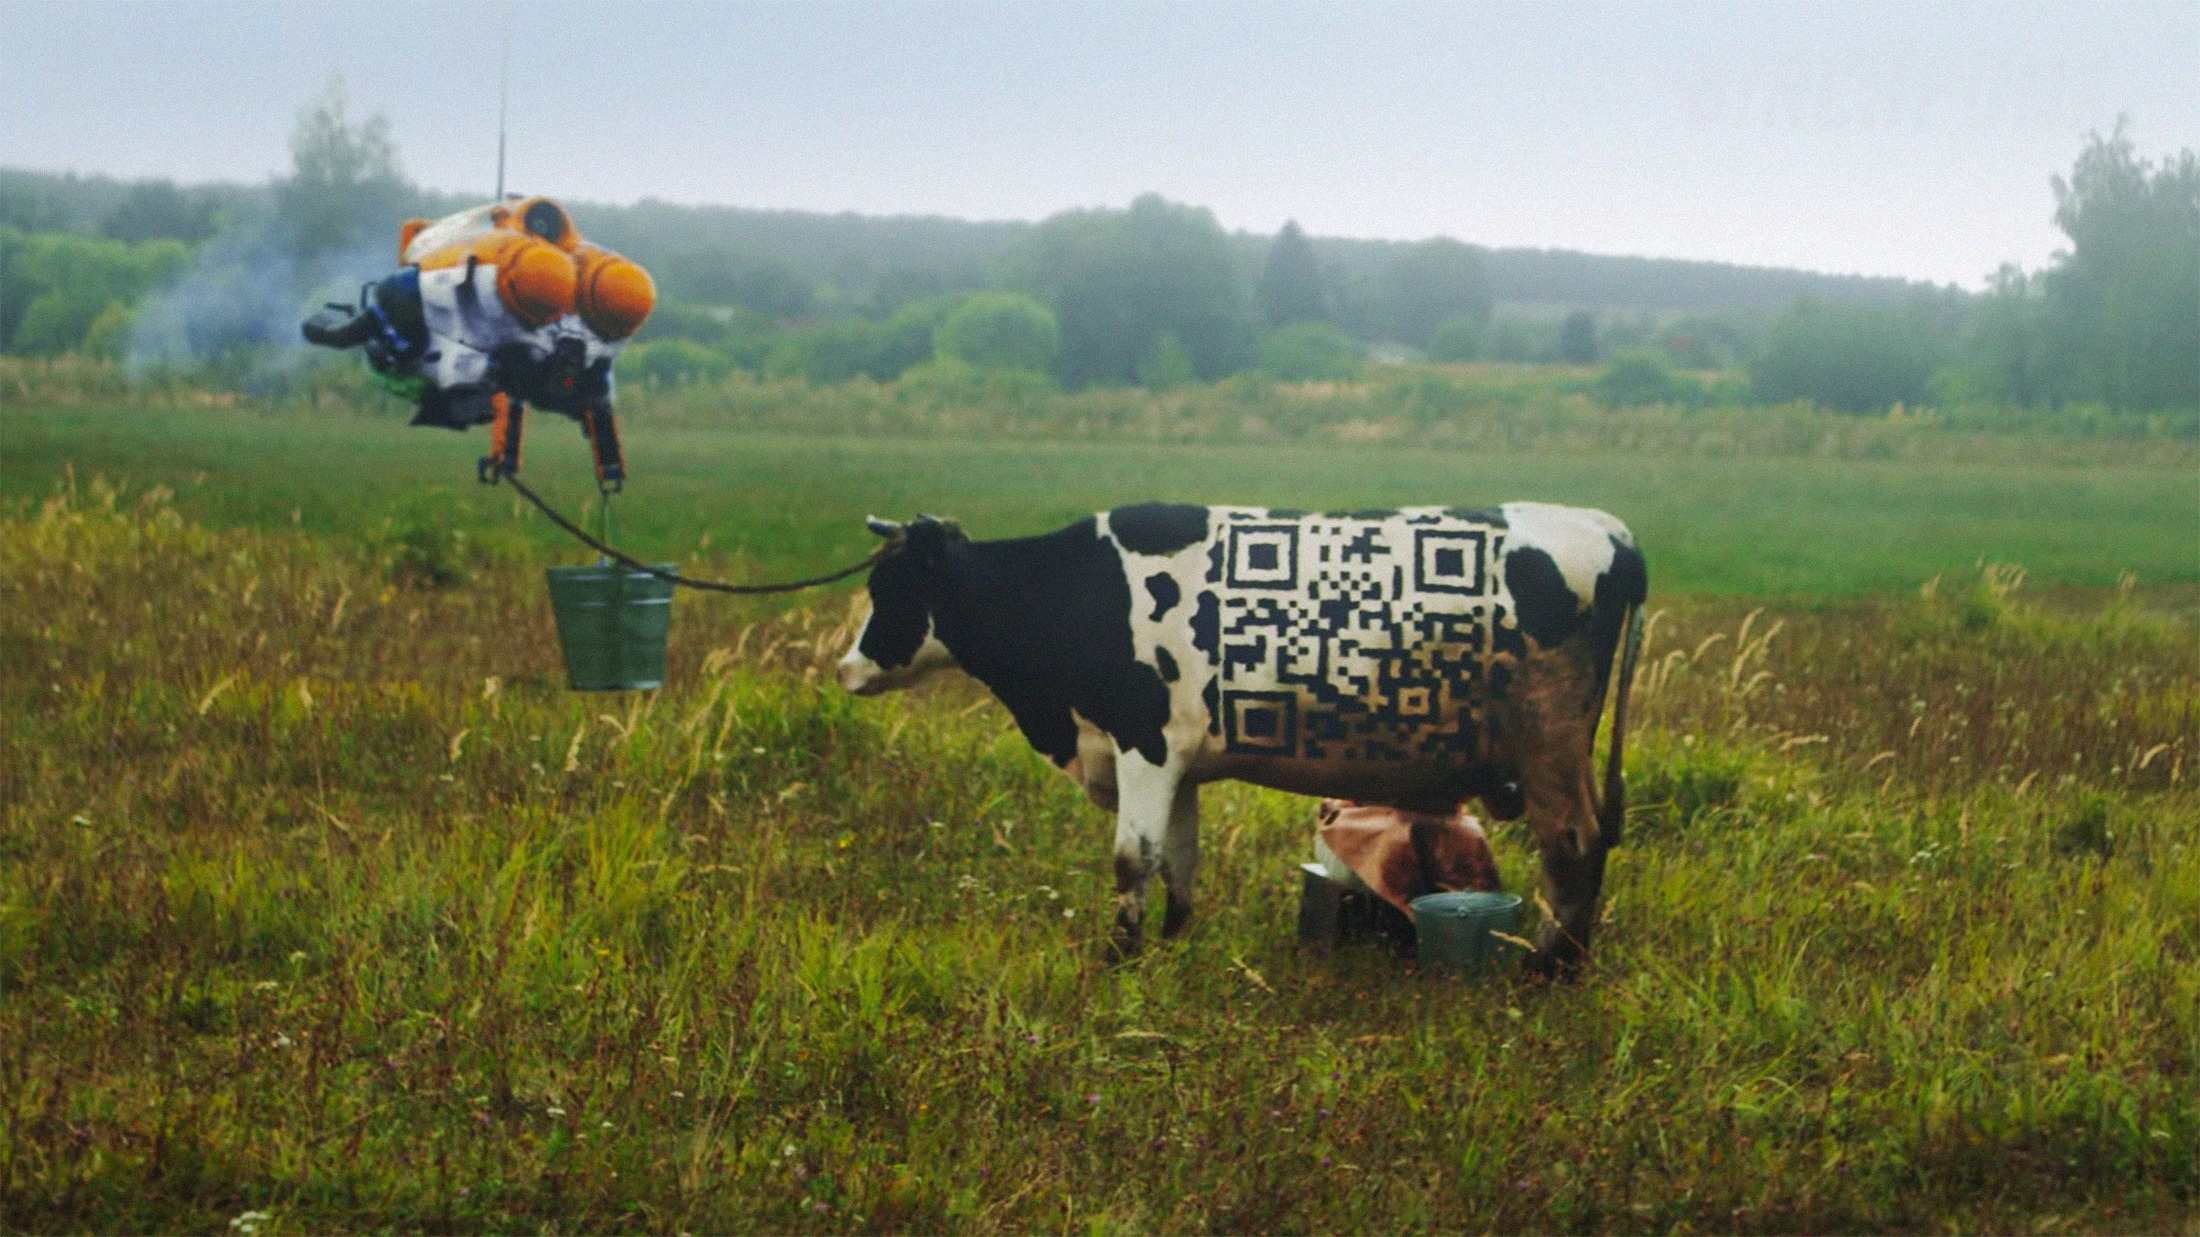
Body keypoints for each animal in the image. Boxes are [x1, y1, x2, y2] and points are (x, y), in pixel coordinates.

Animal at [840, 501, 1654, 972]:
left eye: (888, 588)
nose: (846, 666)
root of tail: (1611, 529)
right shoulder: (1178, 761)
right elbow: (1179, 862)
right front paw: (1170, 948)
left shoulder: (1142, 743)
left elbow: (1131, 861)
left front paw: (1116, 958)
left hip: (1548, 743)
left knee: (1574, 844)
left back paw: (1549, 968)